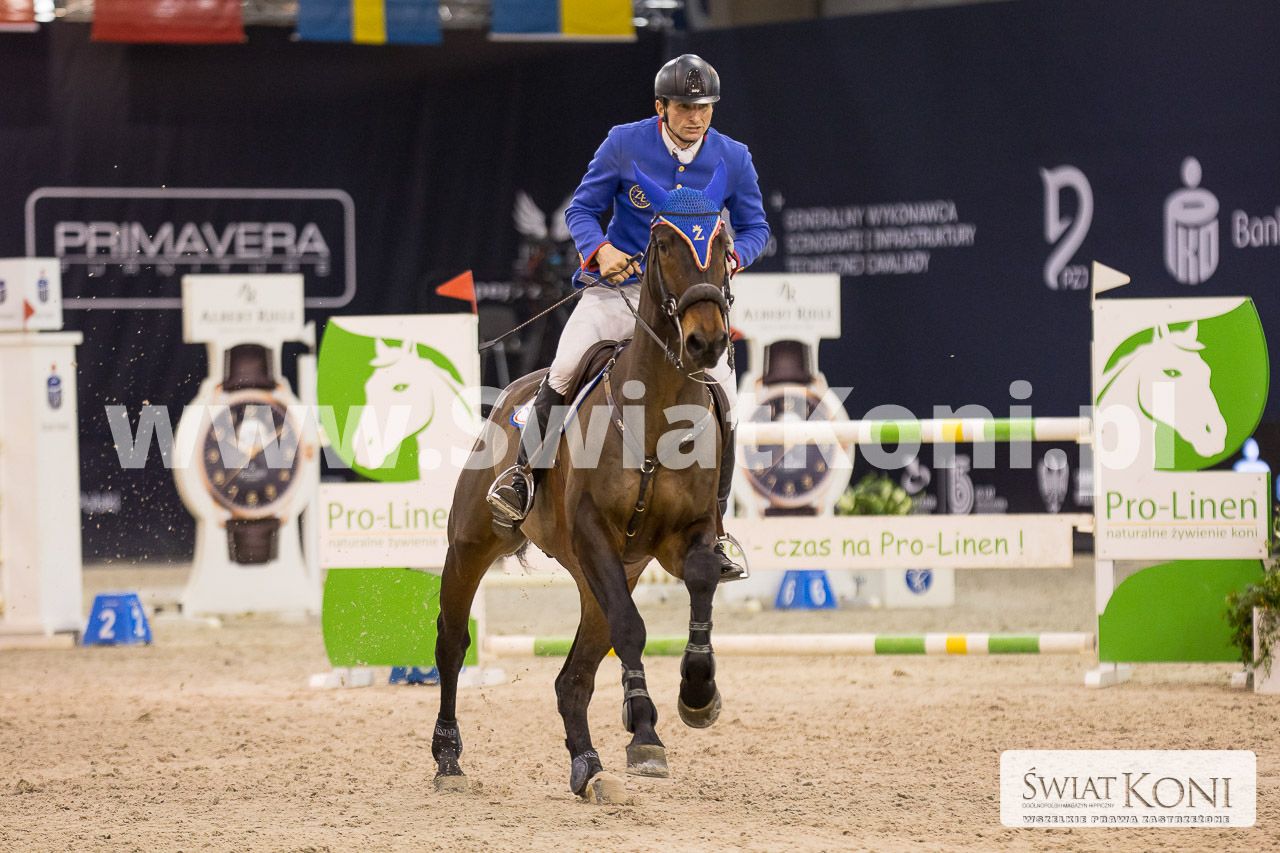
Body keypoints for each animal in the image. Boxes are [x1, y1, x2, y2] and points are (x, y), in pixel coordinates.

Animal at [431, 162, 735, 804]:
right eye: (663, 244)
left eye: (722, 246)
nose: (706, 342)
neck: (656, 416)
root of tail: (511, 394)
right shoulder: (594, 531)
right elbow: (633, 628)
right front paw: (645, 728)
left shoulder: (687, 534)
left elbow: (698, 579)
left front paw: (697, 694)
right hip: (473, 545)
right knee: (453, 642)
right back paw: (448, 756)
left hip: (607, 573)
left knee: (572, 677)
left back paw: (588, 766)